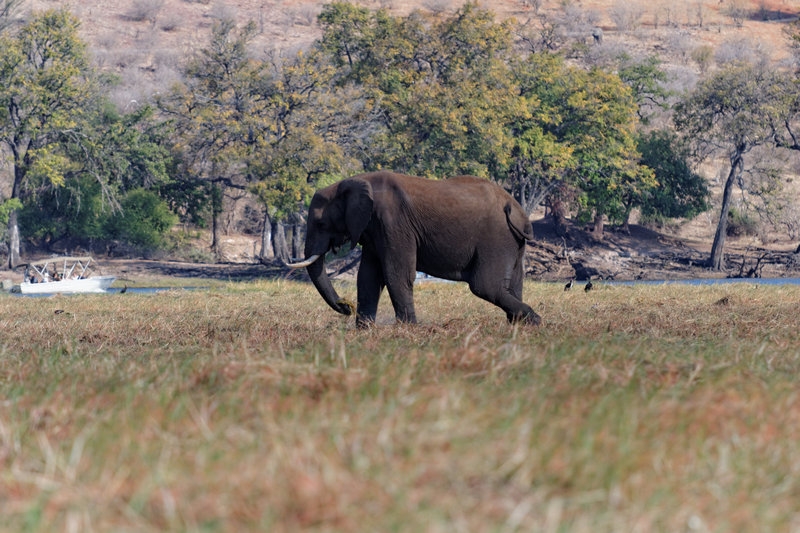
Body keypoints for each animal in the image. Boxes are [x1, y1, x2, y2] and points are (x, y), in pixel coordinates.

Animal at [284, 172, 540, 326]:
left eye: (321, 224)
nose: (346, 307)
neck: (353, 182)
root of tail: (516, 209)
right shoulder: (373, 230)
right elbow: (367, 277)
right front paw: (364, 331)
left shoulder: (393, 223)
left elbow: (396, 274)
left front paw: (408, 329)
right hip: (512, 242)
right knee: (512, 285)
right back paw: (520, 327)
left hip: (495, 238)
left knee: (485, 286)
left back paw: (535, 321)